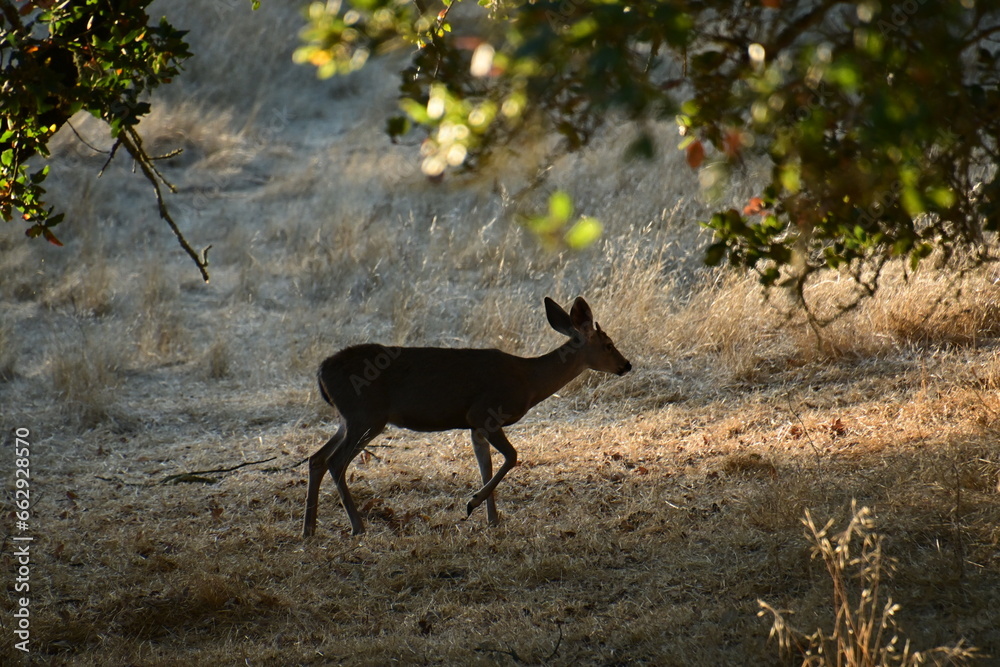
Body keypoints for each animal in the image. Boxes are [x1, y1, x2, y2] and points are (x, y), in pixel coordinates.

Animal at [302, 296, 632, 537]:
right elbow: (512, 457)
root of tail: (320, 372)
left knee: (317, 458)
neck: (529, 381)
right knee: (335, 461)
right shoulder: (485, 412)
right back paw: (357, 527)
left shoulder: (475, 426)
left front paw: (491, 519)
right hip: (366, 415)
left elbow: (486, 465)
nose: (626, 365)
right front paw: (473, 503)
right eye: (608, 345)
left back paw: (309, 529)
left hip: (350, 419)